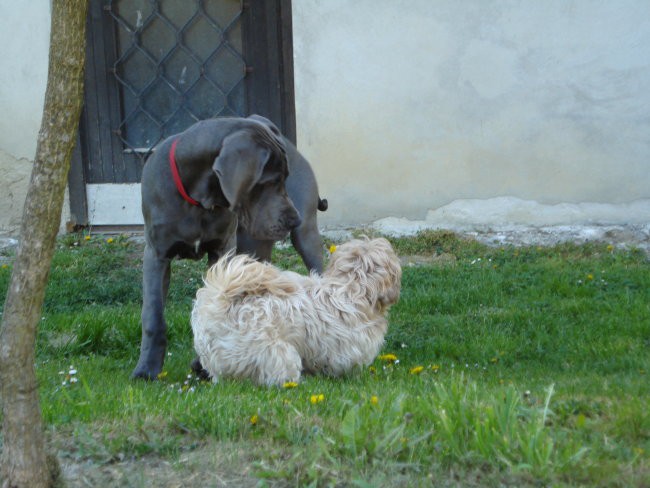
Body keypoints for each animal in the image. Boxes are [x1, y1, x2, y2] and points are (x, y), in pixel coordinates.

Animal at [132, 115, 326, 382]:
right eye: (270, 181)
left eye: (285, 178)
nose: (293, 220)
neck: (197, 200)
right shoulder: (156, 254)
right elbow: (153, 315)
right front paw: (147, 369)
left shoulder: (223, 249)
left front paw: (205, 364)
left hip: (303, 236)